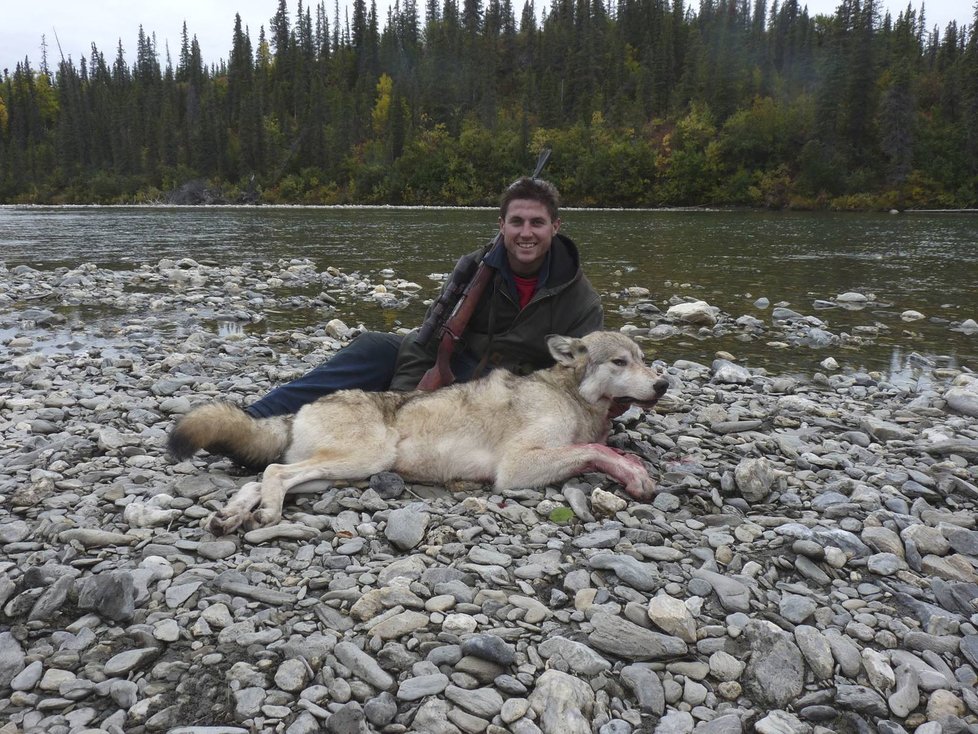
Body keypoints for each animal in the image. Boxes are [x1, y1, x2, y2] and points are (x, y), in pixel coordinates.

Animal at [170, 332, 672, 536]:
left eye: (644, 359)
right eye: (620, 362)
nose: (663, 385)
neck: (571, 395)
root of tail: (300, 410)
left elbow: (599, 448)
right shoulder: (516, 468)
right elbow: (593, 450)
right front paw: (633, 473)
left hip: (333, 475)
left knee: (260, 479)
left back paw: (229, 517)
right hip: (364, 459)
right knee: (272, 471)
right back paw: (264, 514)